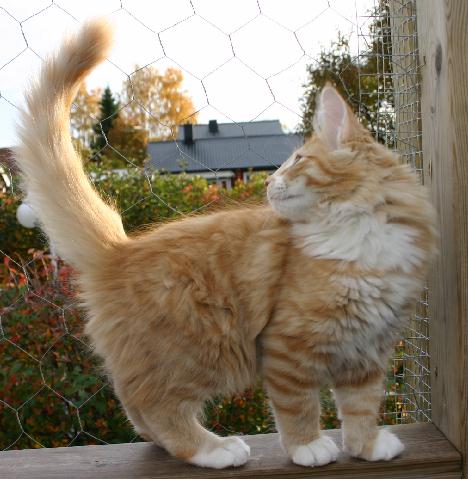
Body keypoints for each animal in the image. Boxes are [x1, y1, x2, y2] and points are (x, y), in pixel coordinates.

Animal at [15, 20, 437, 469]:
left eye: (297, 160)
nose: (269, 182)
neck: (362, 236)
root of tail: (121, 250)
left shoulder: (368, 350)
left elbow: (361, 405)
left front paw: (366, 446)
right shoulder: (288, 345)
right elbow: (298, 404)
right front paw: (307, 446)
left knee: (138, 407)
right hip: (199, 347)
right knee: (154, 404)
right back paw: (212, 449)